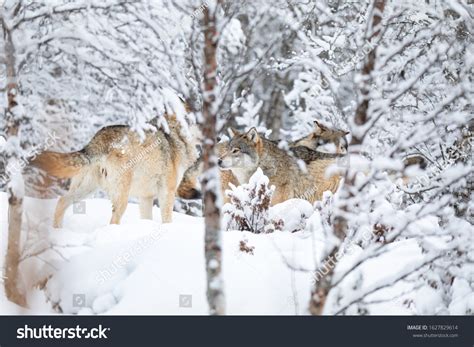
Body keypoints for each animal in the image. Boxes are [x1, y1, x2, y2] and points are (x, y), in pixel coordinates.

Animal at [32, 115, 200, 227]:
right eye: (197, 122)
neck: (174, 137)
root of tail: (99, 138)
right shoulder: (167, 192)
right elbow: (167, 219)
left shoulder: (146, 197)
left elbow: (147, 218)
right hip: (121, 198)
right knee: (113, 220)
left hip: (86, 190)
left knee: (61, 201)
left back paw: (57, 231)